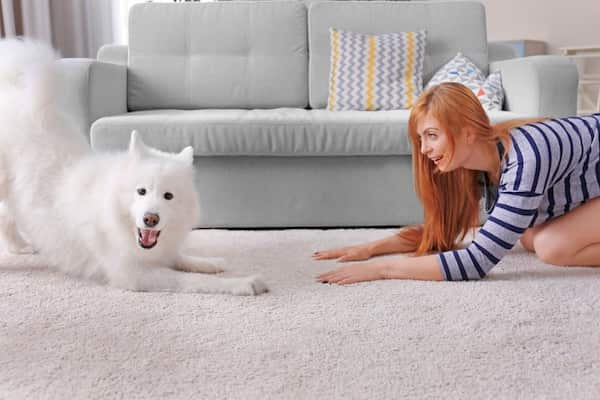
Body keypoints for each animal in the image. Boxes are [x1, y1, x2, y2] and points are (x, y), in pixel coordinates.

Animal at [0, 39, 268, 296]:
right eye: (141, 191)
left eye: (168, 196)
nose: (150, 219)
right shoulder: (135, 273)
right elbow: (190, 280)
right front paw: (242, 283)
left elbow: (182, 259)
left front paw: (209, 263)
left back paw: (21, 247)